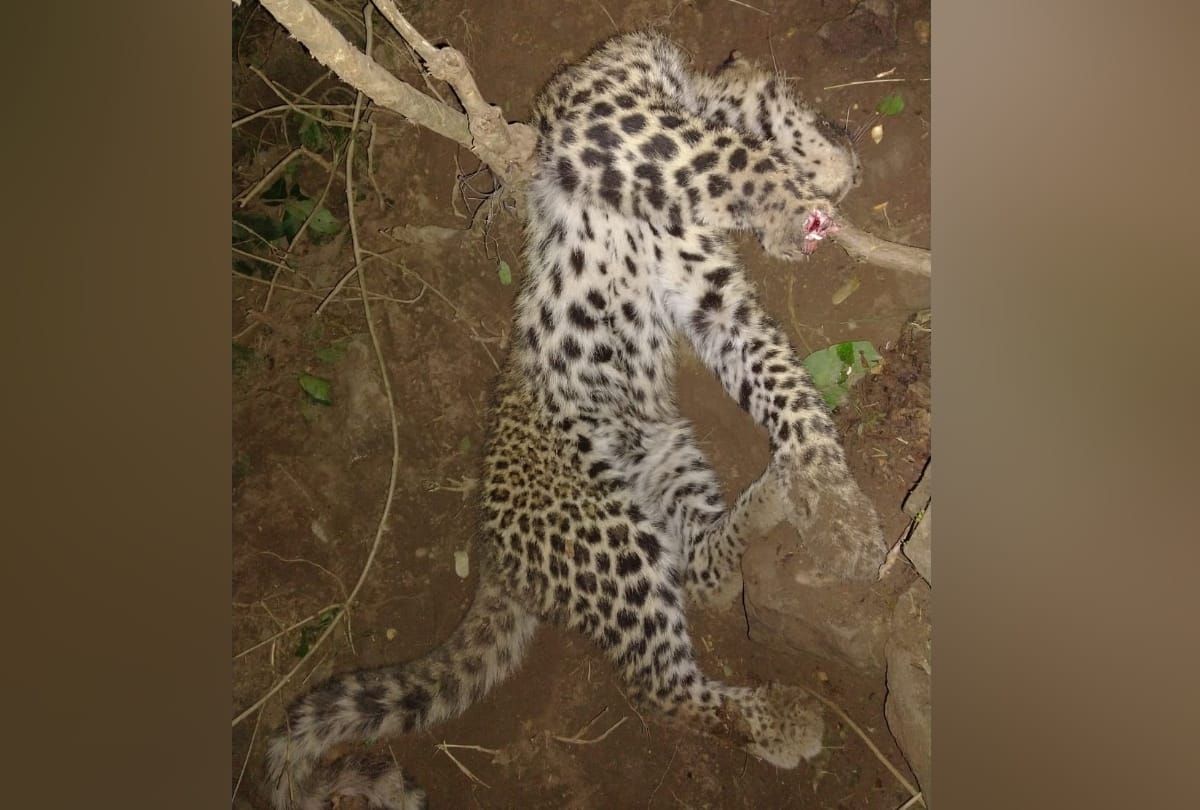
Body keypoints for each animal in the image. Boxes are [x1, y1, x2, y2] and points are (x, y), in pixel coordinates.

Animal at [265, 31, 886, 810]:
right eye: (808, 109)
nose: (850, 159)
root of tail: (496, 556)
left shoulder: (713, 301)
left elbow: (788, 391)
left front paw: (839, 512)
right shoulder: (603, 113)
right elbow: (726, 153)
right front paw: (785, 200)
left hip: (670, 456)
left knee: (703, 574)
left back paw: (773, 499)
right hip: (613, 537)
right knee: (661, 688)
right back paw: (783, 723)